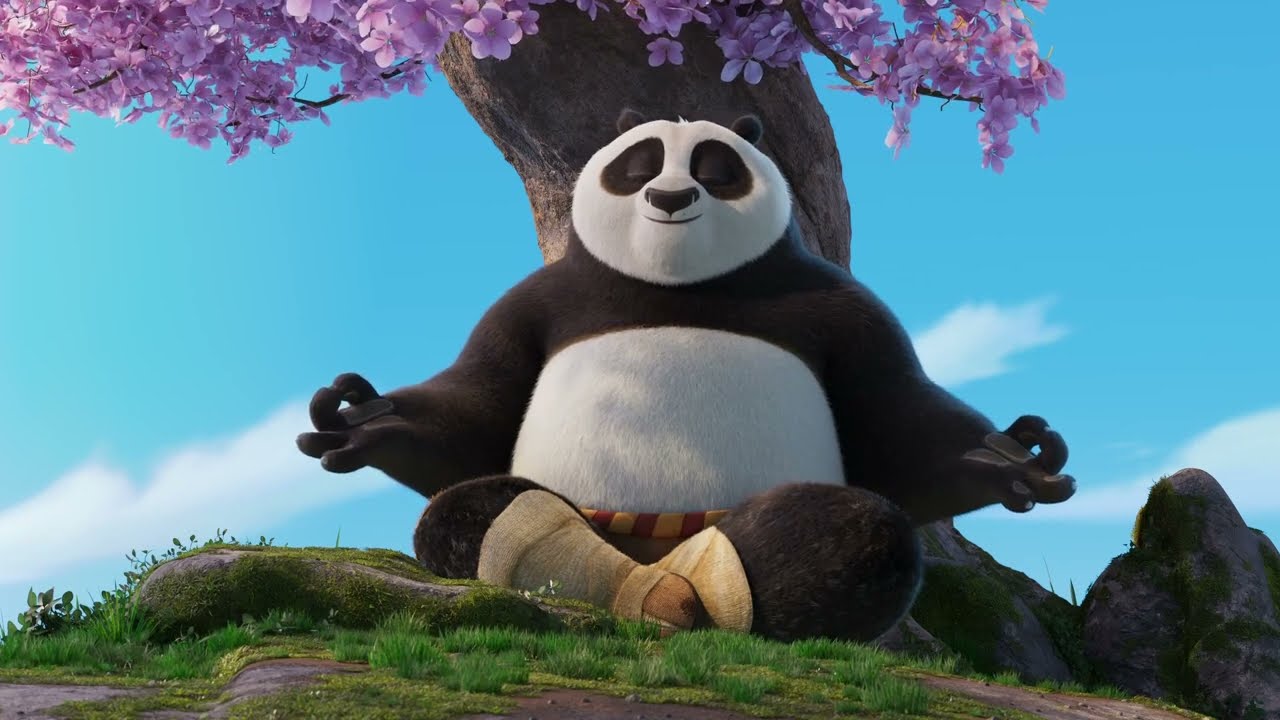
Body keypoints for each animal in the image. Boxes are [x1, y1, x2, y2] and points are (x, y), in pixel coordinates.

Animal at [298, 109, 1076, 642]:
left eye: (714, 166)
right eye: (638, 164)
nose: (670, 200)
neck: (676, 284)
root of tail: (659, 548)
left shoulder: (841, 308)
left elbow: (899, 422)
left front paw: (1014, 457)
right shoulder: (536, 303)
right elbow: (474, 406)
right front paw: (360, 418)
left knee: (854, 533)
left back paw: (694, 596)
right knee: (475, 511)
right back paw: (634, 595)